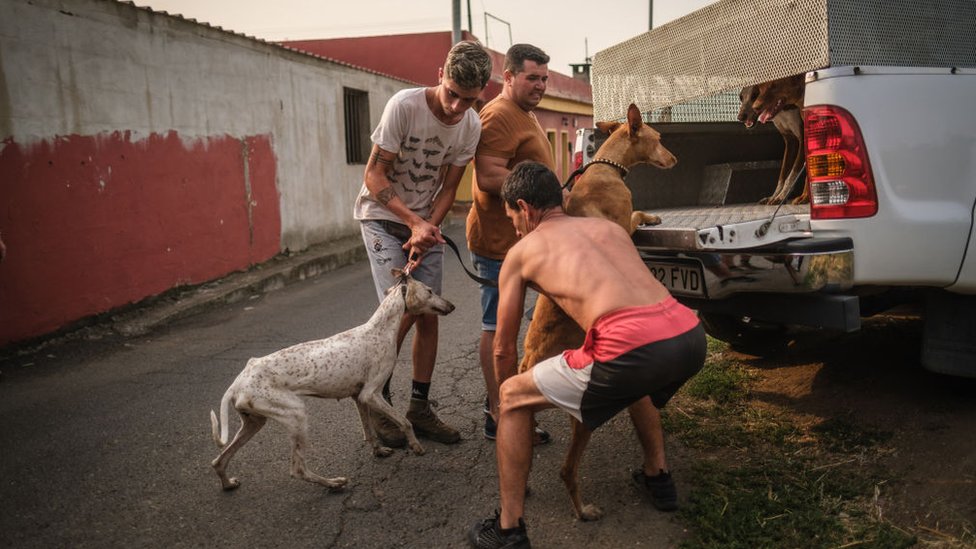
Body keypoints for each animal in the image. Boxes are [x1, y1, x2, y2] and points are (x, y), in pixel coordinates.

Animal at [210, 270, 454, 492]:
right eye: (430, 291)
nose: (451, 306)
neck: (381, 328)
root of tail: (237, 383)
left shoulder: (359, 397)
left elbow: (369, 431)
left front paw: (379, 451)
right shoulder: (371, 393)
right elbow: (405, 422)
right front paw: (416, 446)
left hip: (254, 422)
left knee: (218, 461)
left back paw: (228, 483)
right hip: (295, 414)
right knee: (297, 469)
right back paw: (334, 483)